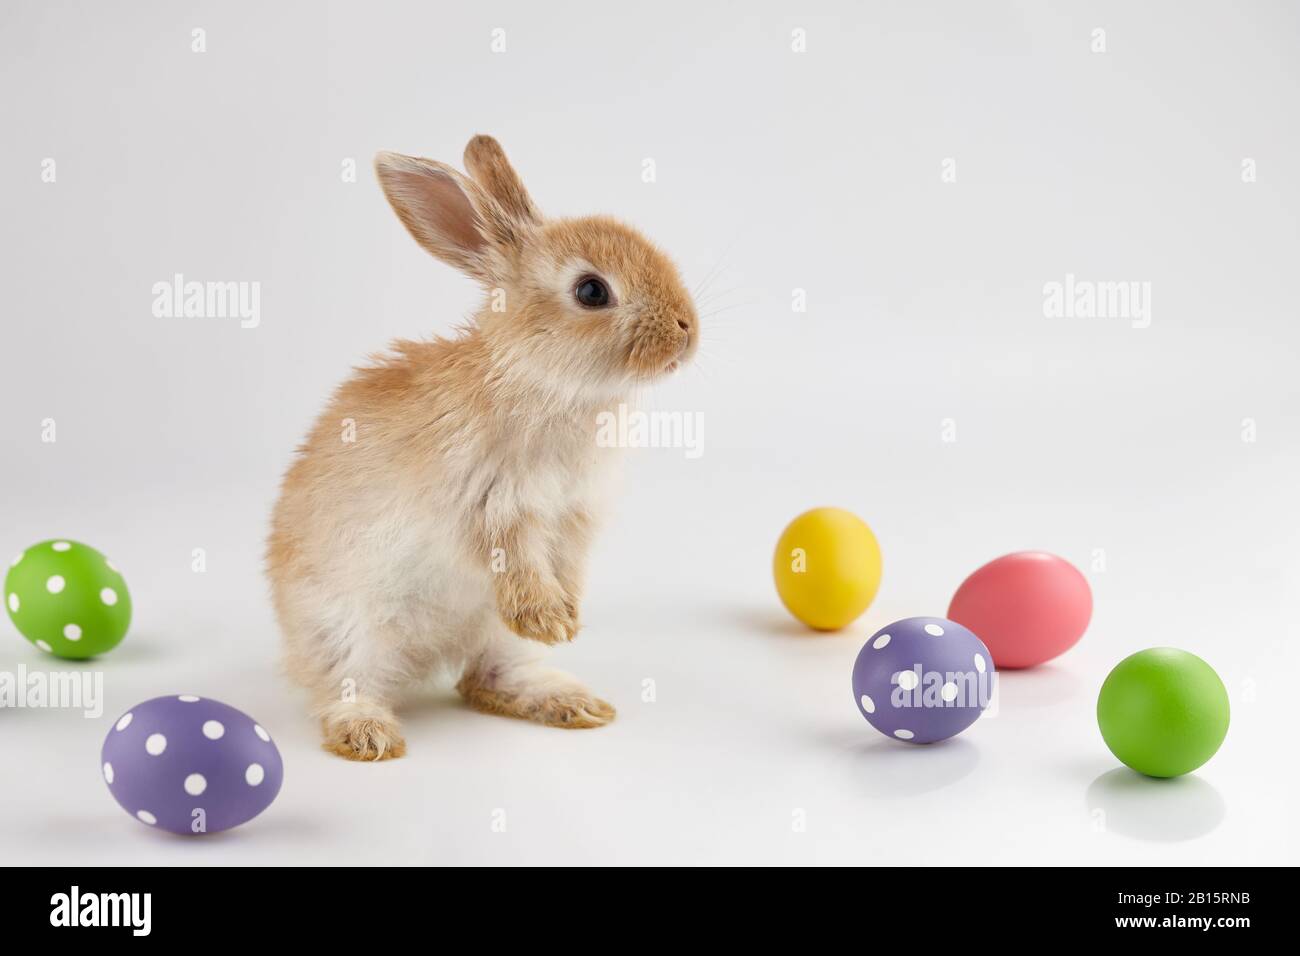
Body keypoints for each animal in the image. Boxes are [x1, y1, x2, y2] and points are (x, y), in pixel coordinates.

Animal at [262, 134, 702, 764]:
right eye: (591, 290)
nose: (687, 331)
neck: (541, 381)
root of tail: (425, 661)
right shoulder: (491, 505)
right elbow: (513, 561)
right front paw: (550, 621)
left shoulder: (574, 517)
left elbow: (566, 566)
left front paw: (567, 621)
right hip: (347, 631)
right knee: (342, 688)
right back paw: (370, 736)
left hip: (491, 636)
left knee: (483, 680)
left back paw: (573, 704)